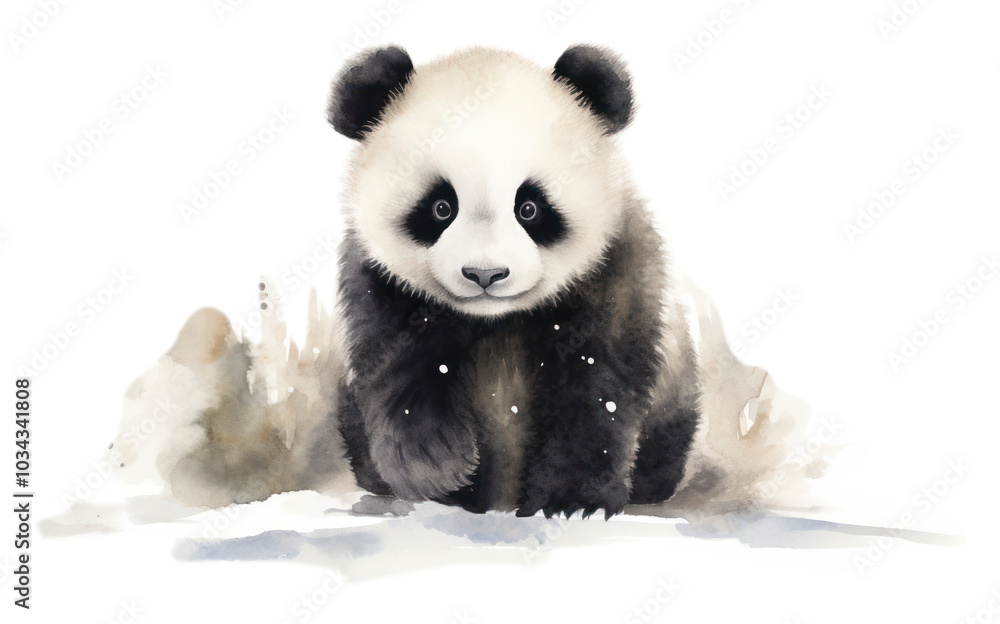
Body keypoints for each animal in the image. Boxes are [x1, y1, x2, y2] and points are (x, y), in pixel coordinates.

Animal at [328, 45, 701, 520]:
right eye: (441, 207)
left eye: (529, 207)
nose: (485, 274)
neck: (496, 319)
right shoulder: (379, 284)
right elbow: (395, 364)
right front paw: (435, 466)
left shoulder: (615, 269)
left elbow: (599, 382)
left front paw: (572, 499)